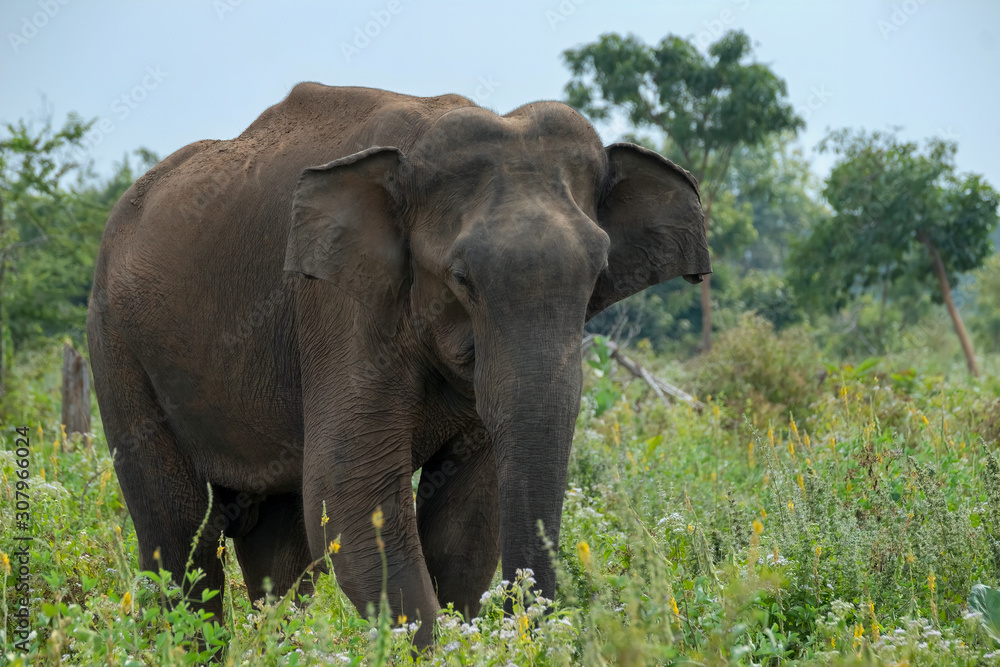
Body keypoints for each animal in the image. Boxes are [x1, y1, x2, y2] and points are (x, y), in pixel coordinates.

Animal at [87, 82, 710, 648]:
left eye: (598, 274)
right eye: (462, 278)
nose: (531, 627)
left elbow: (464, 519)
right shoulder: (338, 302)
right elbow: (351, 492)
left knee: (278, 543)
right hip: (115, 340)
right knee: (179, 534)